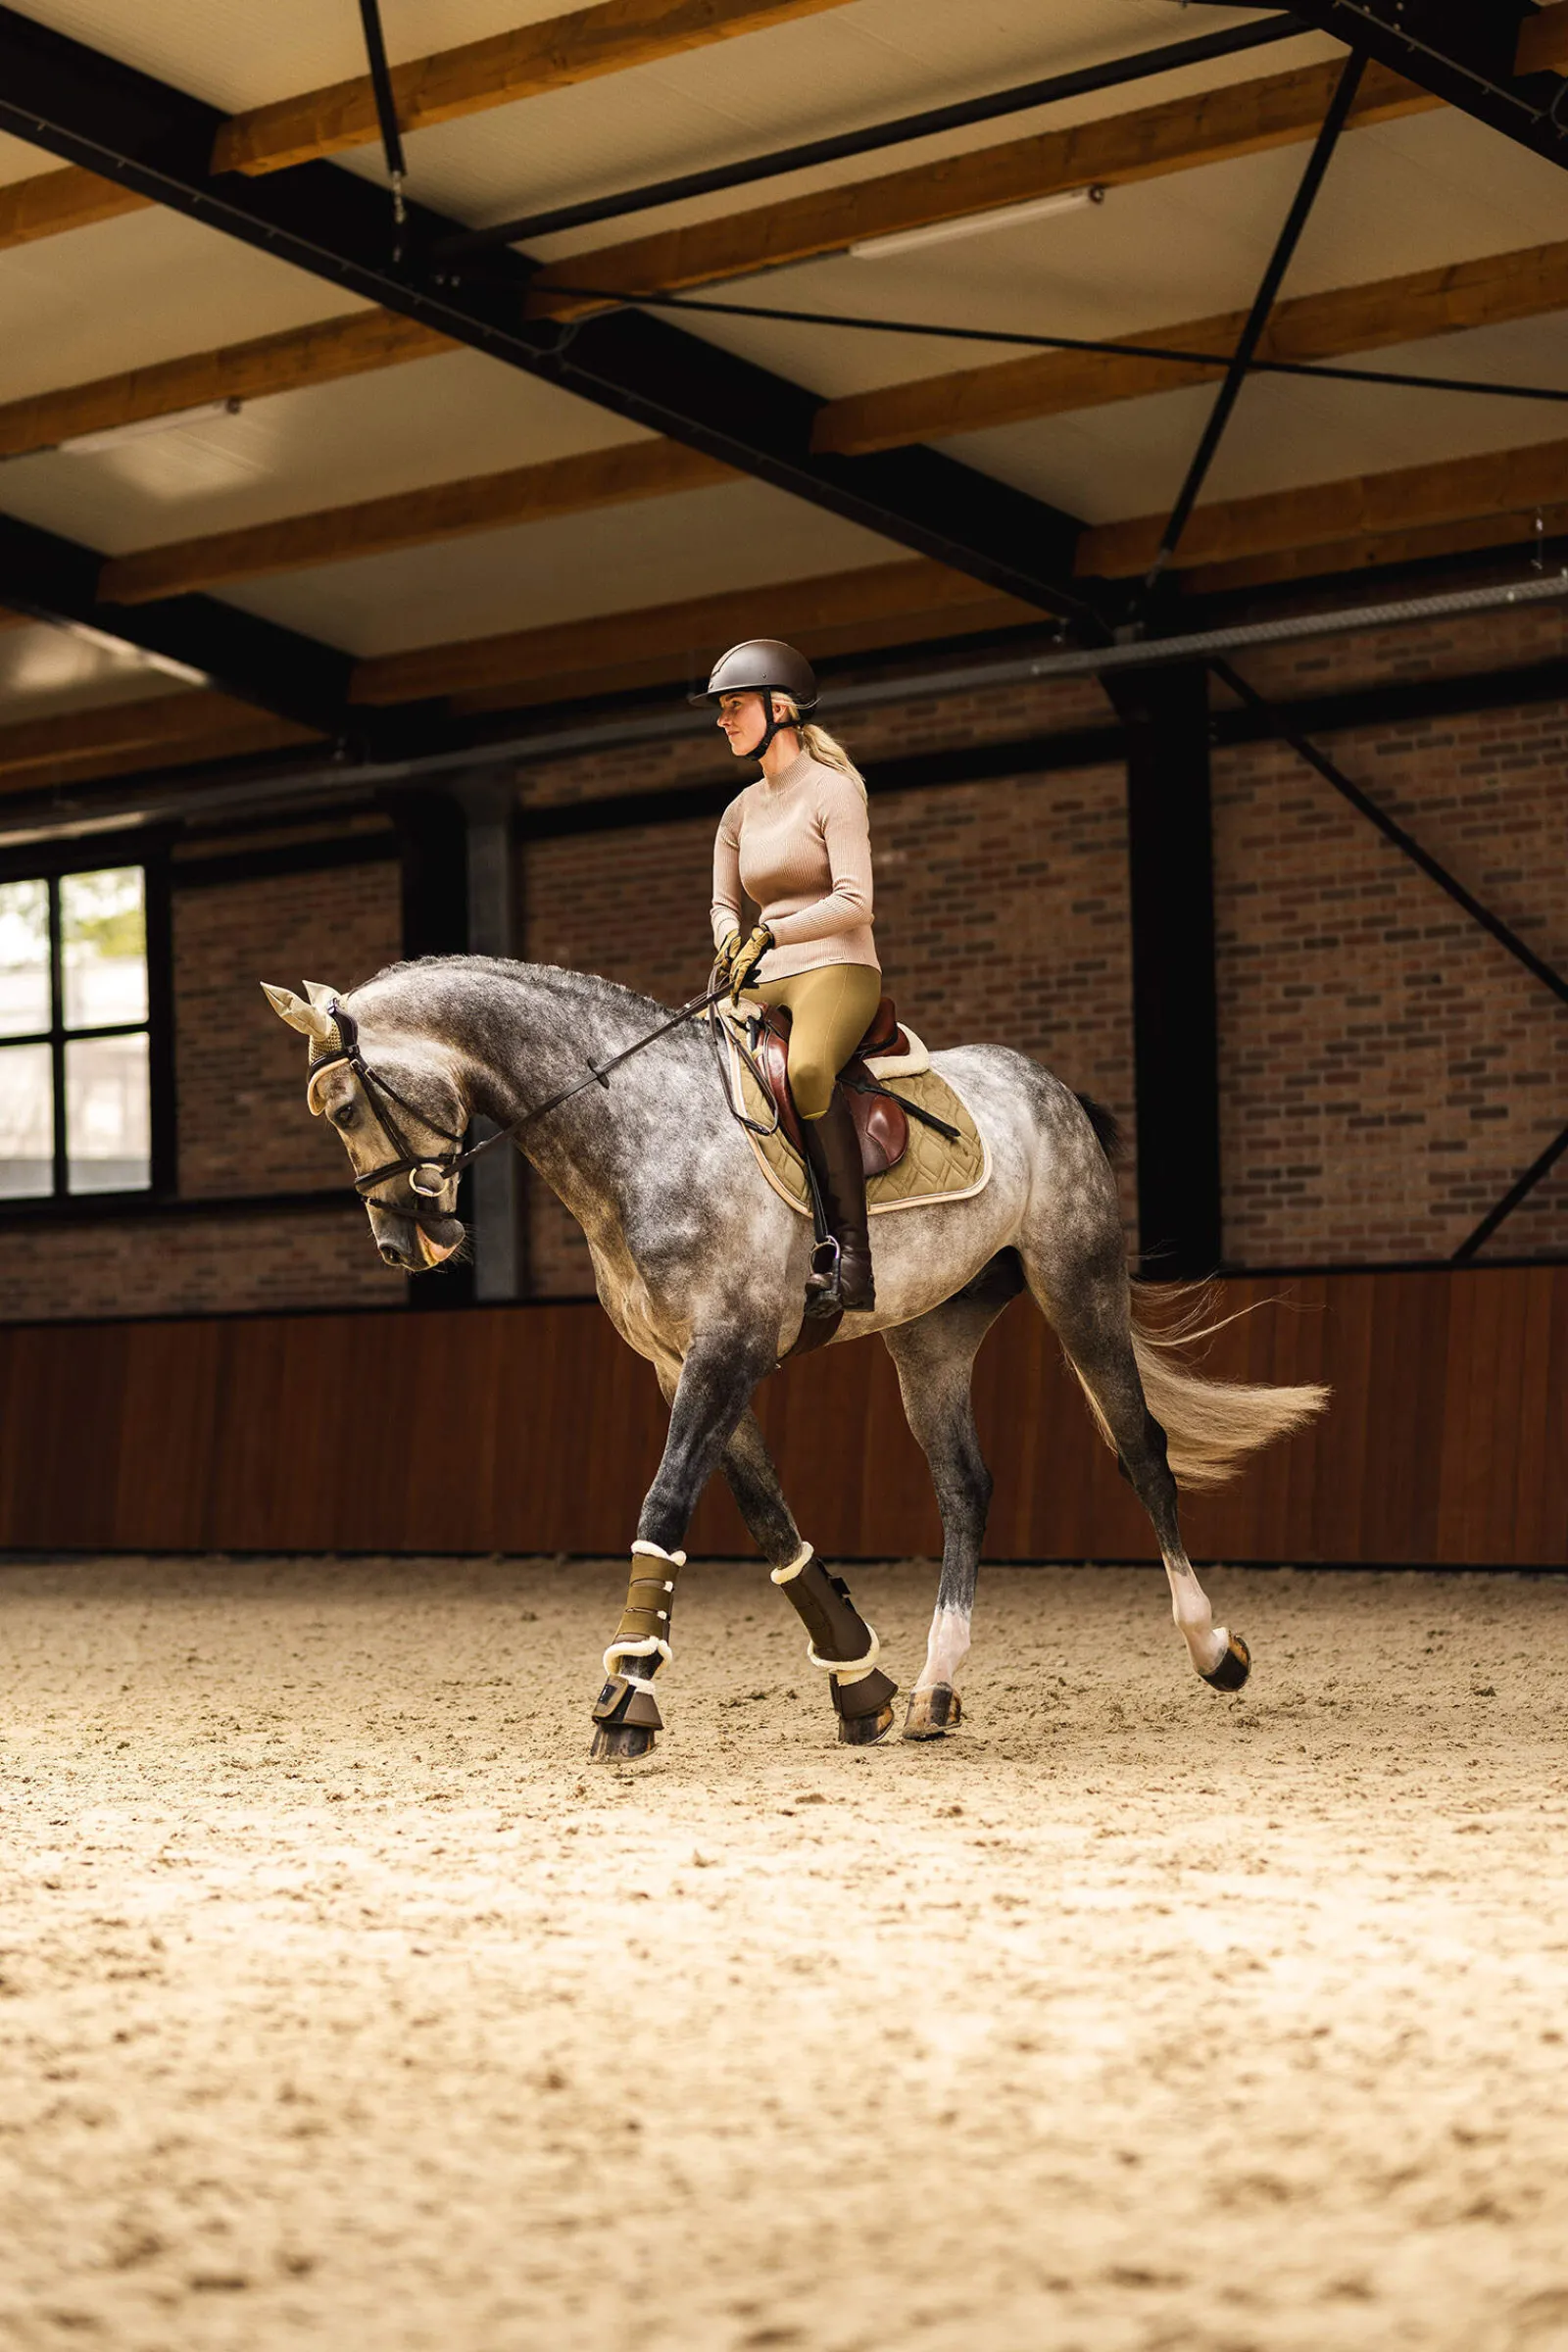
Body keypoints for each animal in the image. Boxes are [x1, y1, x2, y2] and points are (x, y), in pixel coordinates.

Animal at [262, 957, 1327, 1758]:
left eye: (346, 1107)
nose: (406, 1248)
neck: (639, 1132)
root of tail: (1048, 1085)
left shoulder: (724, 1350)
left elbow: (666, 1506)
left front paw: (627, 1702)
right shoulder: (681, 1361)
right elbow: (771, 1522)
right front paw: (860, 1684)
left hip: (1079, 1284)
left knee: (1140, 1450)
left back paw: (1213, 1649)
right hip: (929, 1333)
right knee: (965, 1486)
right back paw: (934, 1691)